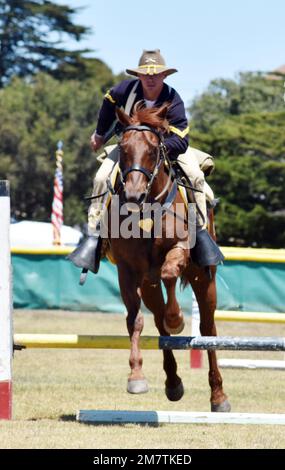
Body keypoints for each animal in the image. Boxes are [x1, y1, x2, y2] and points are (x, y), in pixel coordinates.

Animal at [105, 103, 230, 412]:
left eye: (153, 149)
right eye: (123, 148)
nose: (134, 195)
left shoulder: (180, 249)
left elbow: (170, 274)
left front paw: (178, 318)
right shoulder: (128, 270)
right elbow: (135, 320)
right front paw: (136, 376)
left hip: (204, 279)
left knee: (207, 328)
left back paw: (218, 396)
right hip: (148, 285)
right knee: (159, 324)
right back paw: (173, 383)